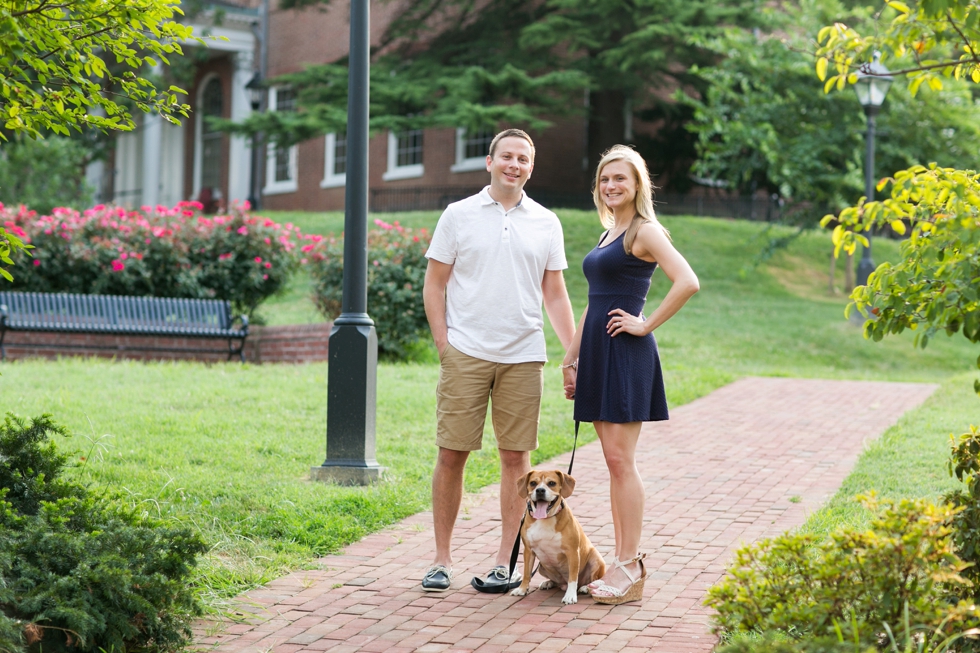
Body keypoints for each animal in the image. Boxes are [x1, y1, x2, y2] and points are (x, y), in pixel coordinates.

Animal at [512, 468, 604, 600]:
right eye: (533, 483)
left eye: (551, 483)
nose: (540, 490)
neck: (545, 518)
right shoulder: (528, 551)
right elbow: (526, 573)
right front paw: (522, 589)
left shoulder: (572, 552)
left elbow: (573, 577)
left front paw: (570, 596)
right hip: (541, 567)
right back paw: (548, 582)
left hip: (596, 559)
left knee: (593, 579)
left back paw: (586, 587)